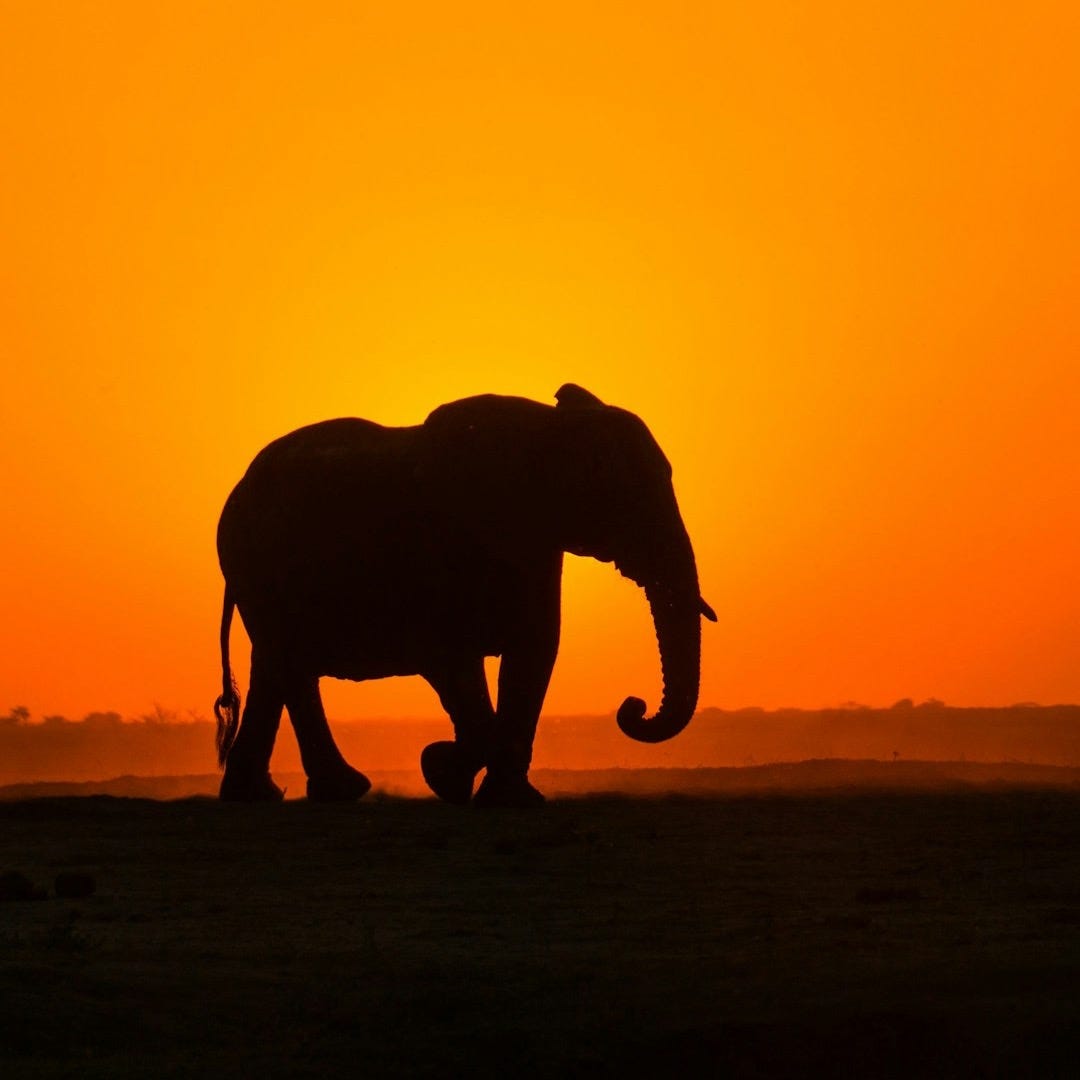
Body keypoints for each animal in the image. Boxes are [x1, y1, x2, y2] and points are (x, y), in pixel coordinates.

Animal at [213, 383, 716, 807]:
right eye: (624, 494)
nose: (633, 707)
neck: (549, 429)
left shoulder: (537, 543)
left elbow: (534, 650)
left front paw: (501, 797)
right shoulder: (446, 543)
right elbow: (452, 658)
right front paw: (444, 772)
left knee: (275, 666)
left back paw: (267, 795)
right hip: (253, 563)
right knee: (288, 664)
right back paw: (334, 791)